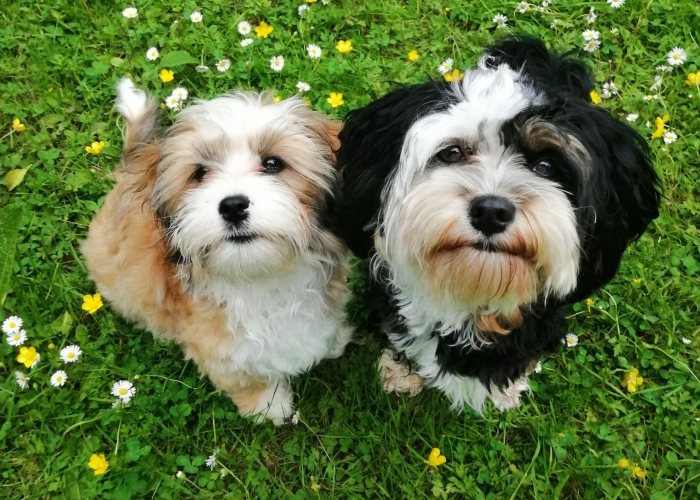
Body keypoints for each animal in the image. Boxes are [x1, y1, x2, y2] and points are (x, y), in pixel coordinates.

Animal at [84, 80, 352, 424]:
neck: (260, 276)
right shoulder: (220, 348)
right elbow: (244, 377)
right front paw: (268, 406)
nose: (233, 205)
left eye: (273, 164)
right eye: (199, 173)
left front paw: (333, 341)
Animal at [336, 34, 660, 410]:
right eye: (452, 153)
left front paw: (504, 388)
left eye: (546, 166)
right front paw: (402, 371)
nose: (491, 211)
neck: (472, 299)